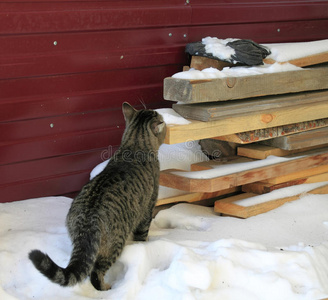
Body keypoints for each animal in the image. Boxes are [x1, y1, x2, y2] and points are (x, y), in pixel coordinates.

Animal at [28, 102, 167, 290]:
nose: (164, 119)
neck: (134, 145)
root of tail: (87, 218)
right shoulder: (147, 209)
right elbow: (142, 235)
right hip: (115, 244)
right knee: (96, 273)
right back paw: (107, 288)